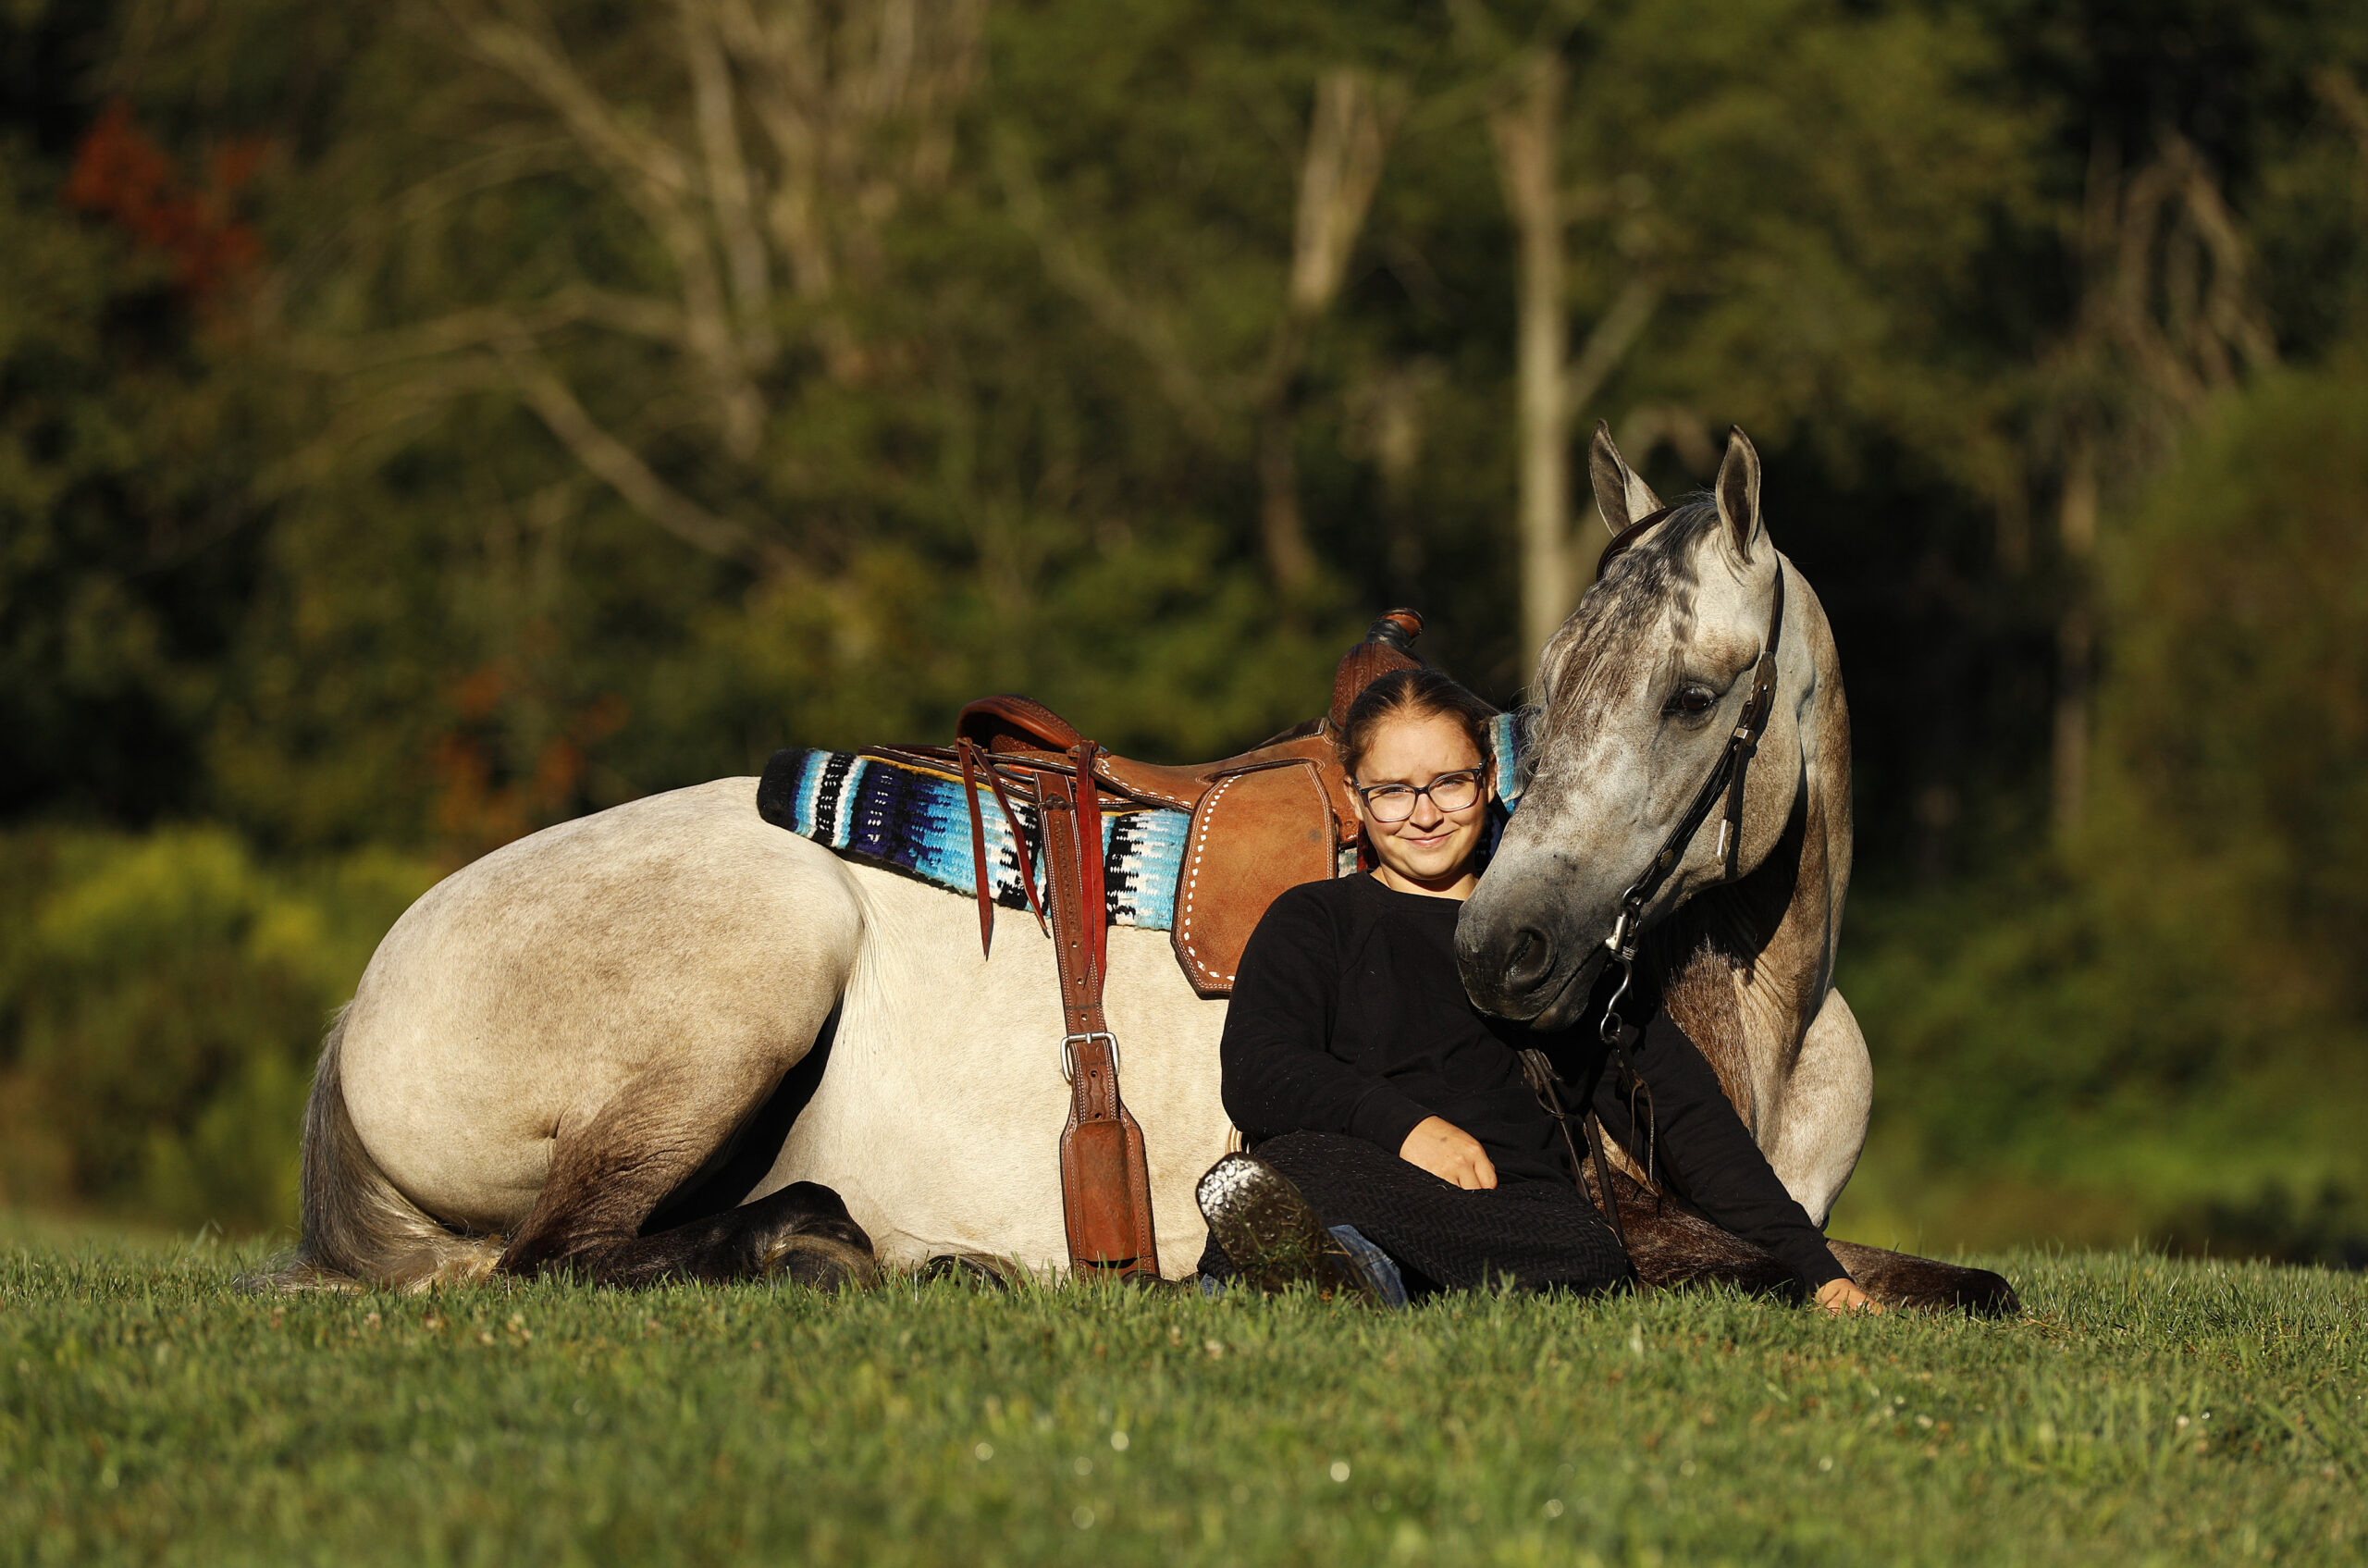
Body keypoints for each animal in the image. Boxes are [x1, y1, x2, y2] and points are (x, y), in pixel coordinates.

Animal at [280, 425, 2013, 1312]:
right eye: (1553, 674)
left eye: (1696, 696)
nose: (1504, 951)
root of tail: (362, 1003)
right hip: (750, 983)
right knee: (550, 1259)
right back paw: (833, 1244)